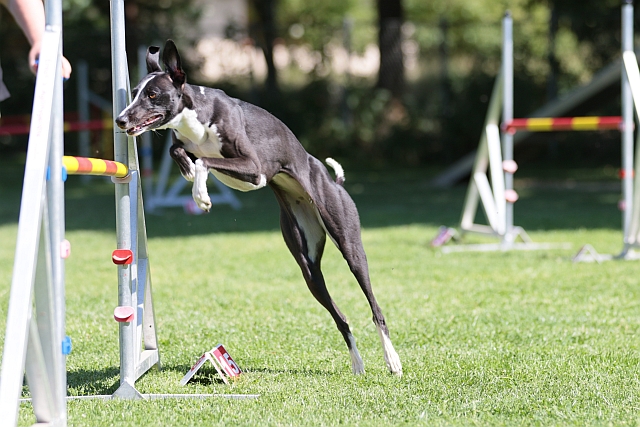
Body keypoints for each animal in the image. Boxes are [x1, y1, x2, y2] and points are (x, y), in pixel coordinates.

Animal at [115, 40, 402, 376]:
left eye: (152, 94)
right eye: (134, 91)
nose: (121, 120)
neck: (197, 114)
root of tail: (335, 182)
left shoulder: (255, 170)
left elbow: (204, 161)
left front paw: (201, 195)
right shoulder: (196, 149)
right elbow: (181, 151)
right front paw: (187, 170)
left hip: (350, 246)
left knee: (375, 307)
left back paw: (392, 360)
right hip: (308, 268)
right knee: (340, 316)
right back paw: (357, 364)